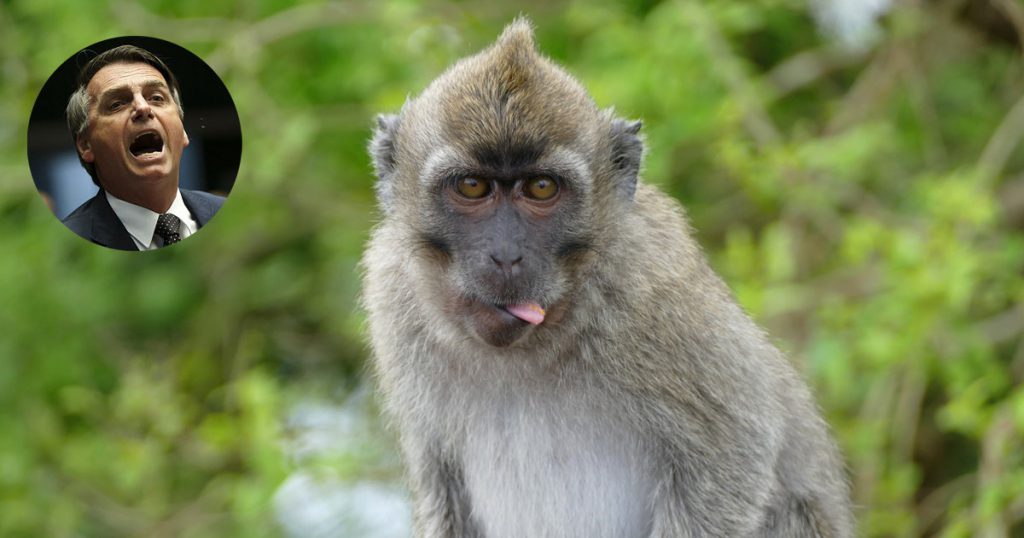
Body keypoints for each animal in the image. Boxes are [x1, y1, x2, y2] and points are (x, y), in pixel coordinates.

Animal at [362, 18, 854, 538]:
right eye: (473, 186)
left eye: (541, 188)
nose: (506, 256)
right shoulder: (391, 289)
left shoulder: (656, 291)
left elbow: (737, 449)